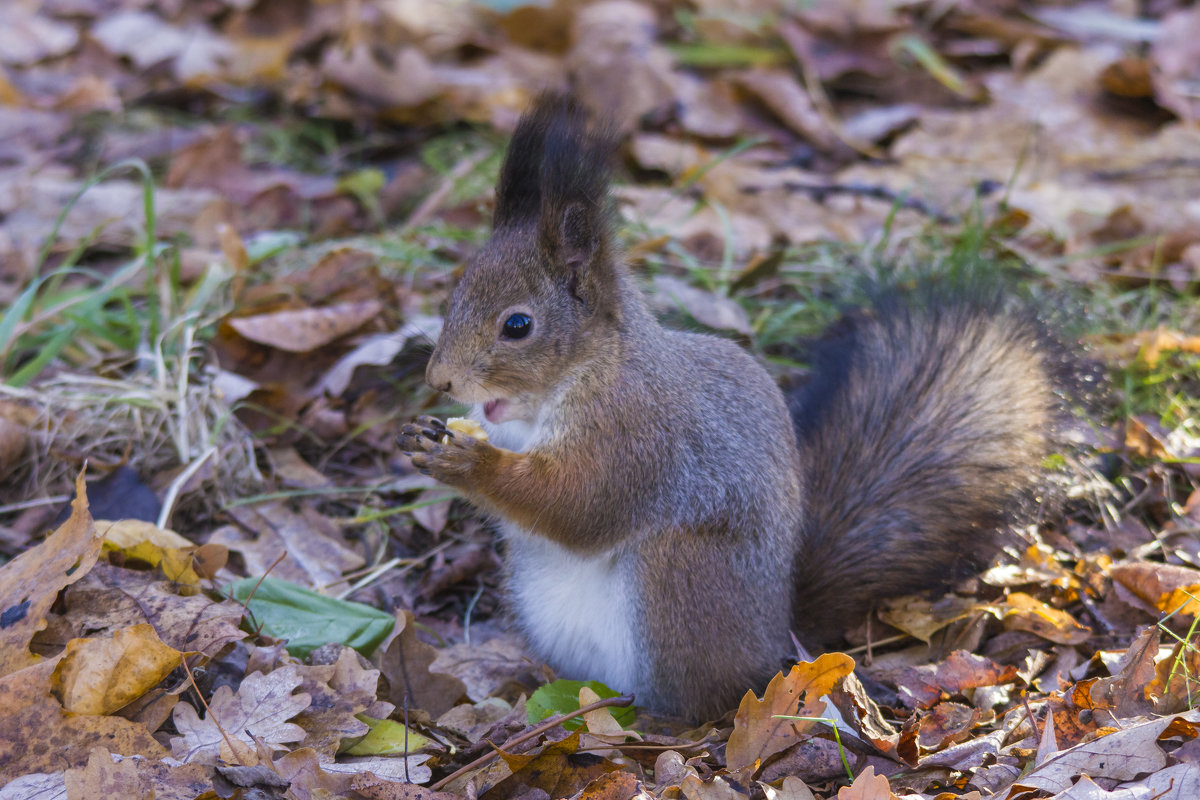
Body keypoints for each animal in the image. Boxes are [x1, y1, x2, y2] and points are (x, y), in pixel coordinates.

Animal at [398, 92, 1084, 719]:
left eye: (518, 326)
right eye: (455, 292)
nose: (440, 379)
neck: (565, 389)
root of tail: (776, 636)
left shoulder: (638, 431)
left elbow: (582, 502)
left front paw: (469, 465)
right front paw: (423, 435)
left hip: (679, 581)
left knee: (697, 696)